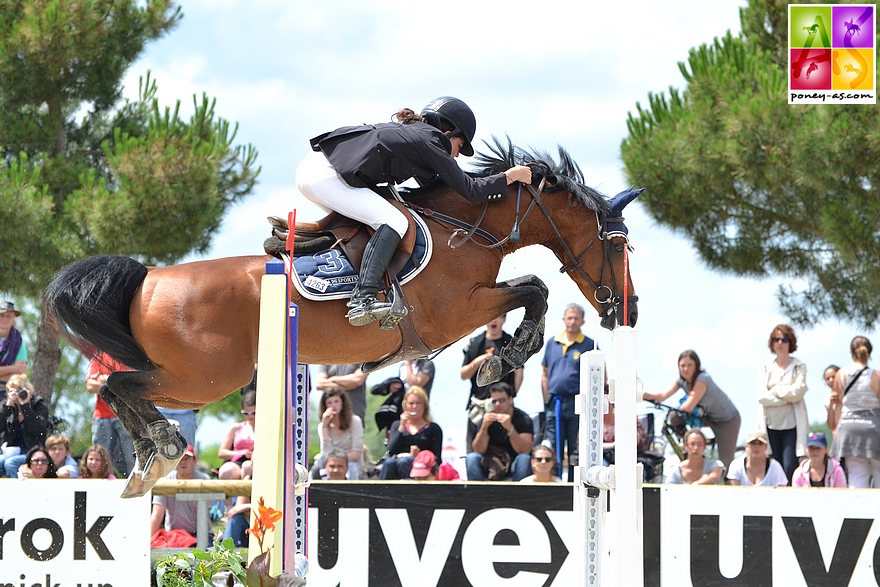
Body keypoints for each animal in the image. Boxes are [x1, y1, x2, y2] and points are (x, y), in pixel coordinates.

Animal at [44, 140, 644, 498]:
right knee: (122, 384)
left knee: (118, 386)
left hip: (196, 380)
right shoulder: (459, 311)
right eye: (618, 245)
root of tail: (147, 278)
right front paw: (508, 357)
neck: (467, 228)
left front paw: (503, 358)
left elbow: (532, 290)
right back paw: (163, 450)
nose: (630, 311)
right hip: (206, 377)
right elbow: (534, 289)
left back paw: (149, 460)